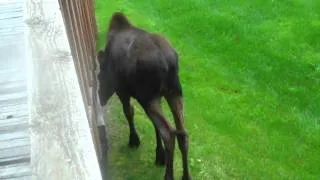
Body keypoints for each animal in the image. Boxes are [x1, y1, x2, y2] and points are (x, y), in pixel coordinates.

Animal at [97, 11, 191, 179]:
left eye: (98, 77)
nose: (100, 98)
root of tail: (169, 63)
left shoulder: (122, 90)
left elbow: (128, 112)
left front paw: (134, 140)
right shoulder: (158, 97)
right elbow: (154, 126)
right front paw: (159, 155)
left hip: (148, 98)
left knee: (169, 133)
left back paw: (169, 175)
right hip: (174, 92)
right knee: (182, 132)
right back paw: (186, 176)